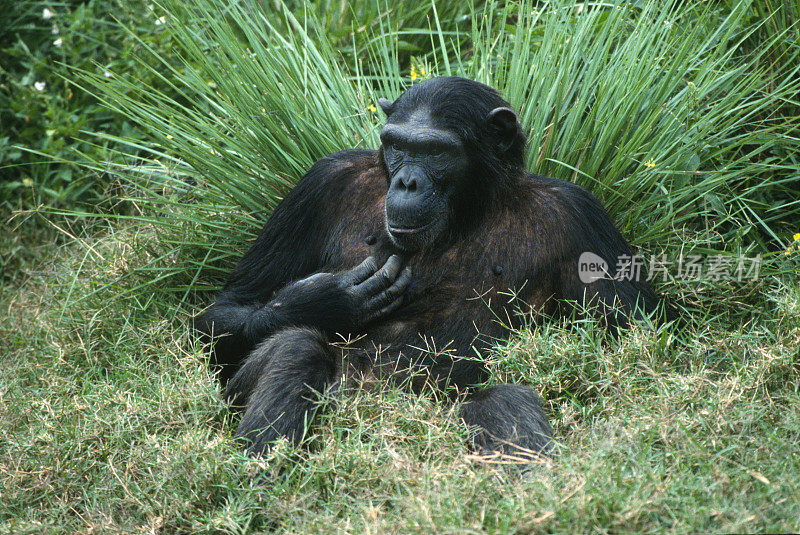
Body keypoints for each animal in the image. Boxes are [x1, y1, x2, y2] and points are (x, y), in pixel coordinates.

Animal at [192, 75, 656, 460]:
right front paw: (326, 301)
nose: (408, 182)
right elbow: (228, 307)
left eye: (435, 151)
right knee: (295, 346)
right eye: (398, 145)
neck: (467, 213)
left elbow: (636, 352)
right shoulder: (320, 184)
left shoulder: (580, 217)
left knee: (504, 401)